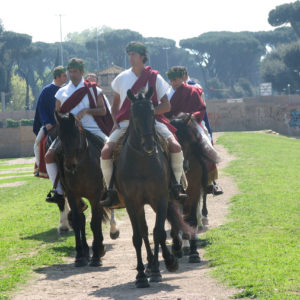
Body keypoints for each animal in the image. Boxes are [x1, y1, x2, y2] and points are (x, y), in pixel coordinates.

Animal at [54, 111, 111, 266]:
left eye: (76, 136)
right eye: (60, 136)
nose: (69, 165)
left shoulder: (96, 196)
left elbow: (95, 222)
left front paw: (96, 255)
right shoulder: (72, 195)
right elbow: (77, 221)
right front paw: (80, 255)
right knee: (81, 218)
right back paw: (86, 251)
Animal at [112, 88, 190, 288]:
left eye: (152, 113)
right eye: (134, 115)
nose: (149, 145)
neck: (142, 163)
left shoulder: (160, 198)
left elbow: (159, 233)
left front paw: (160, 269)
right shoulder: (132, 203)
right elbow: (138, 237)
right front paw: (141, 274)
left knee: (156, 231)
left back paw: (164, 261)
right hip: (140, 205)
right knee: (144, 232)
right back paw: (148, 265)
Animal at [170, 112, 219, 262]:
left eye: (188, 141)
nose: (184, 166)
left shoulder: (194, 190)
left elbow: (191, 219)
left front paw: (193, 252)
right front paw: (178, 248)